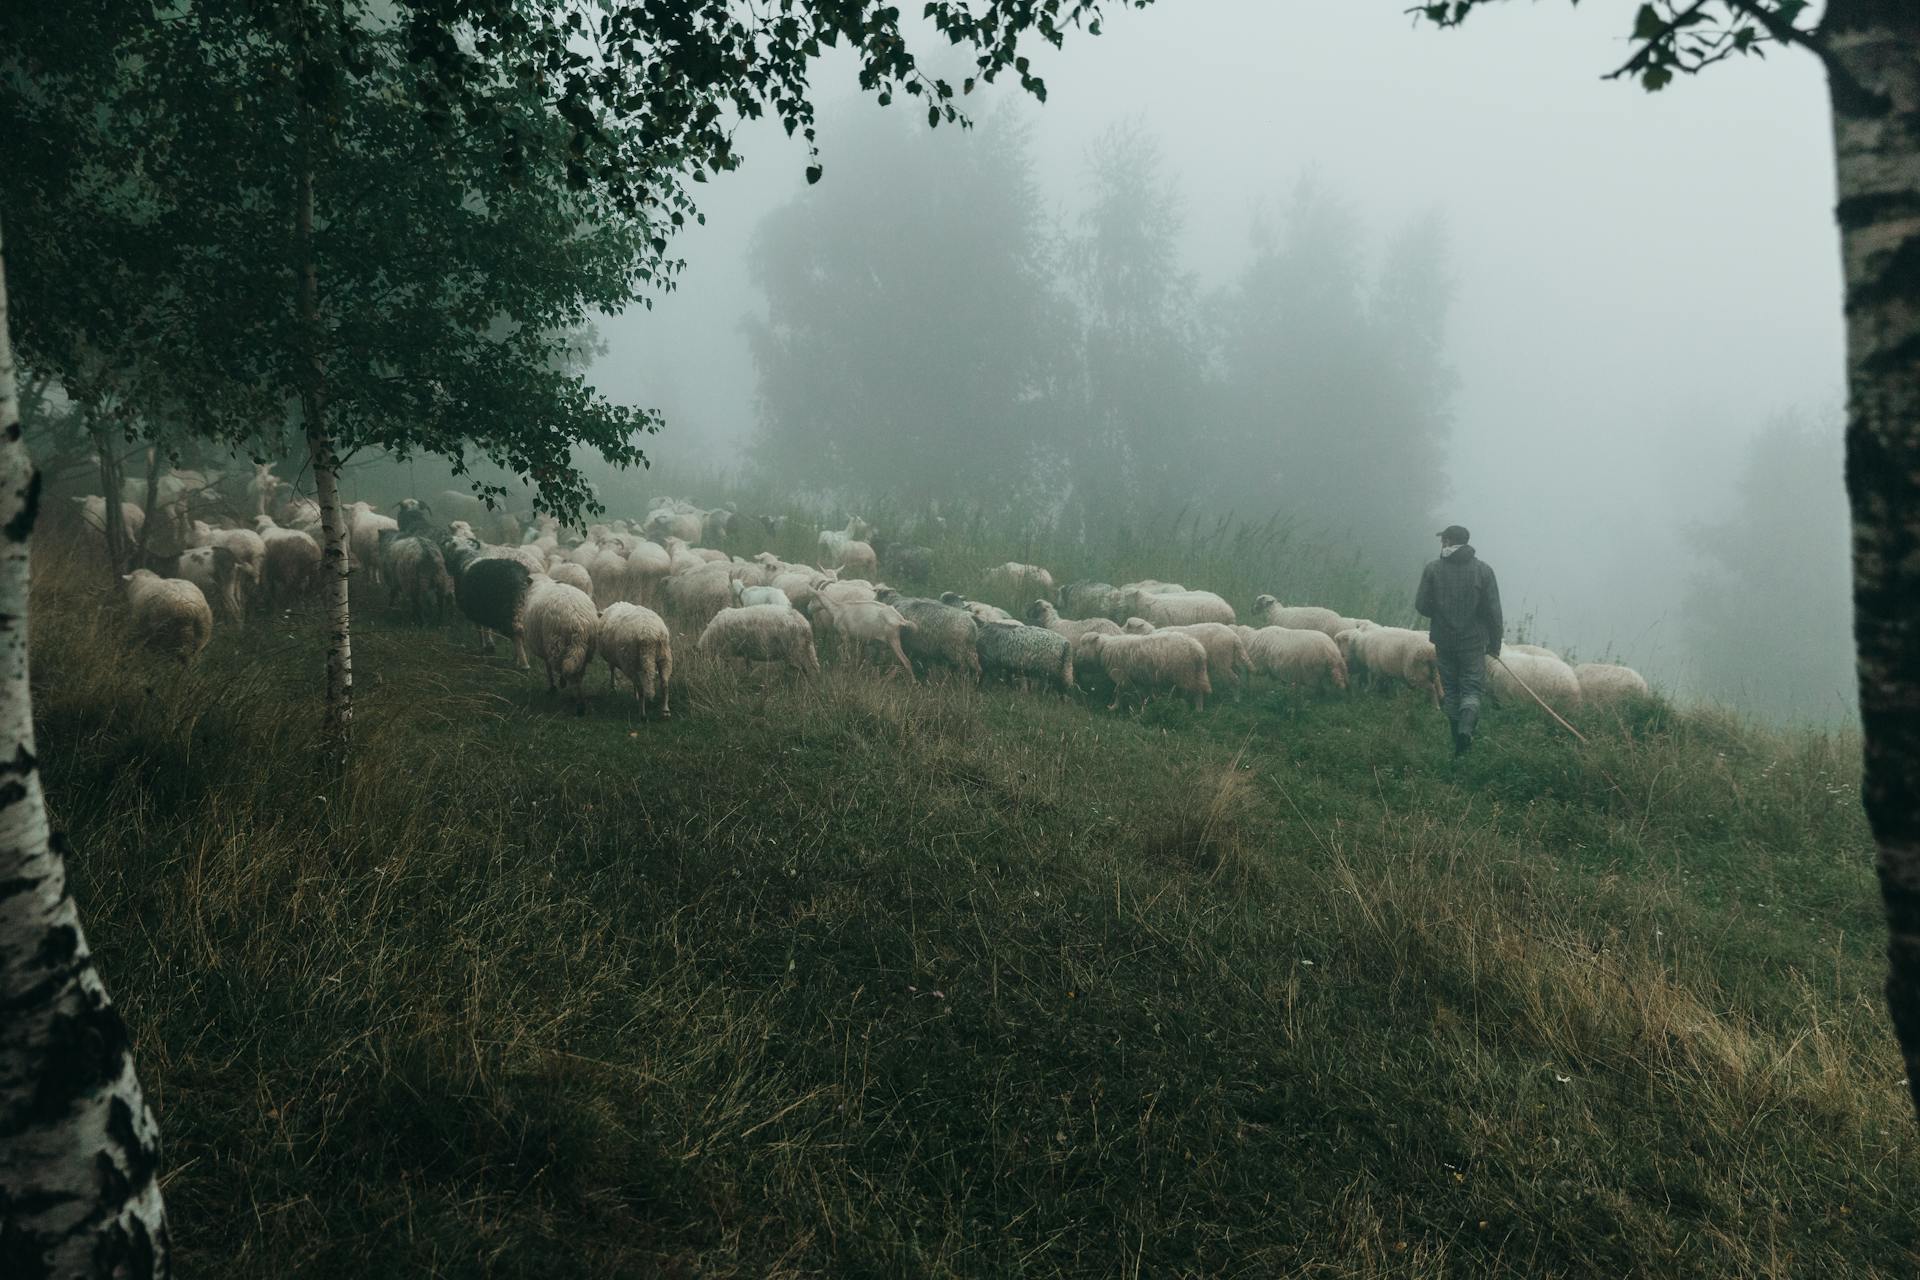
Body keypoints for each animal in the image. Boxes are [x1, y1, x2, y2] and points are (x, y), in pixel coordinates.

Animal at [522, 579, 595, 717]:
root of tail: (576, 621)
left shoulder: (545, 649)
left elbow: (548, 669)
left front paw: (553, 687)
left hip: (555, 644)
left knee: (569, 673)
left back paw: (579, 705)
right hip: (585, 650)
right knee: (578, 674)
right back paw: (578, 699)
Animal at [1121, 621, 1259, 702]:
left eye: (1128, 626)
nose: (1120, 631)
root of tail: (1234, 637)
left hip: (1222, 660)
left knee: (1235, 679)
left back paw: (1236, 699)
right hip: (1232, 658)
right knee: (1242, 672)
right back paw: (1247, 691)